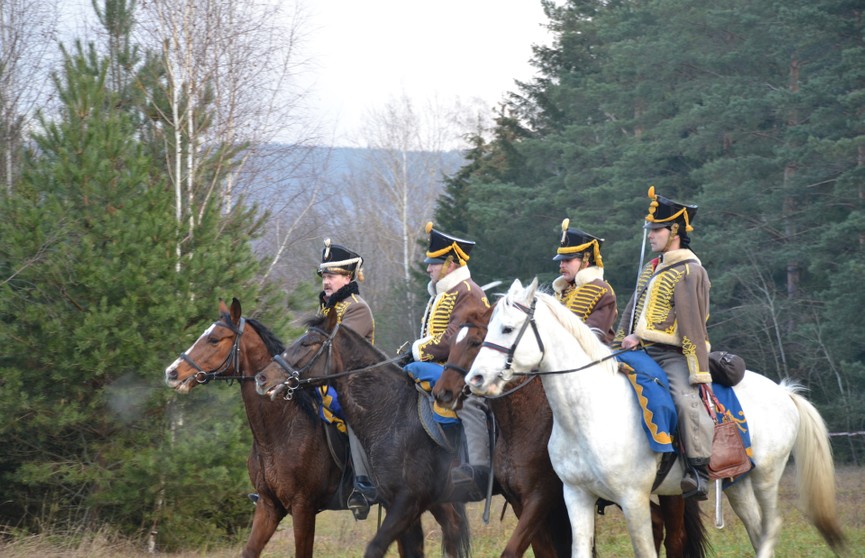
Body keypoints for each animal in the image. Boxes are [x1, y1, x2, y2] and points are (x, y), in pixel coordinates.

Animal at [162, 302, 426, 558]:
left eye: (215, 339)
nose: (171, 372)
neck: (277, 433)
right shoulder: (268, 505)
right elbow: (249, 551)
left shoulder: (303, 508)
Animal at [432, 304, 708, 556]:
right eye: (452, 344)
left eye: (476, 341)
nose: (442, 393)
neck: (522, 424)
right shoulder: (522, 502)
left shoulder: (541, 499)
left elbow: (513, 550)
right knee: (657, 523)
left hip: (668, 491)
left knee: (675, 537)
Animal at [466, 280, 844, 558]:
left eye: (507, 328)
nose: (476, 379)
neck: (588, 411)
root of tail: (784, 393)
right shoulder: (575, 497)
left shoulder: (630, 499)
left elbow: (645, 550)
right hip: (737, 483)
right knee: (755, 530)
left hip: (765, 478)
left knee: (767, 528)